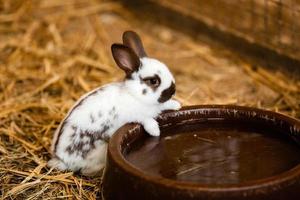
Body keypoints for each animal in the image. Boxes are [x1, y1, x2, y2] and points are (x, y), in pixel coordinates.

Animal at [47, 30, 180, 176]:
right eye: (153, 81)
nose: (173, 90)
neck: (135, 94)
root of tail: (60, 159)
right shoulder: (136, 115)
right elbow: (147, 120)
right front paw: (155, 131)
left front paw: (176, 105)